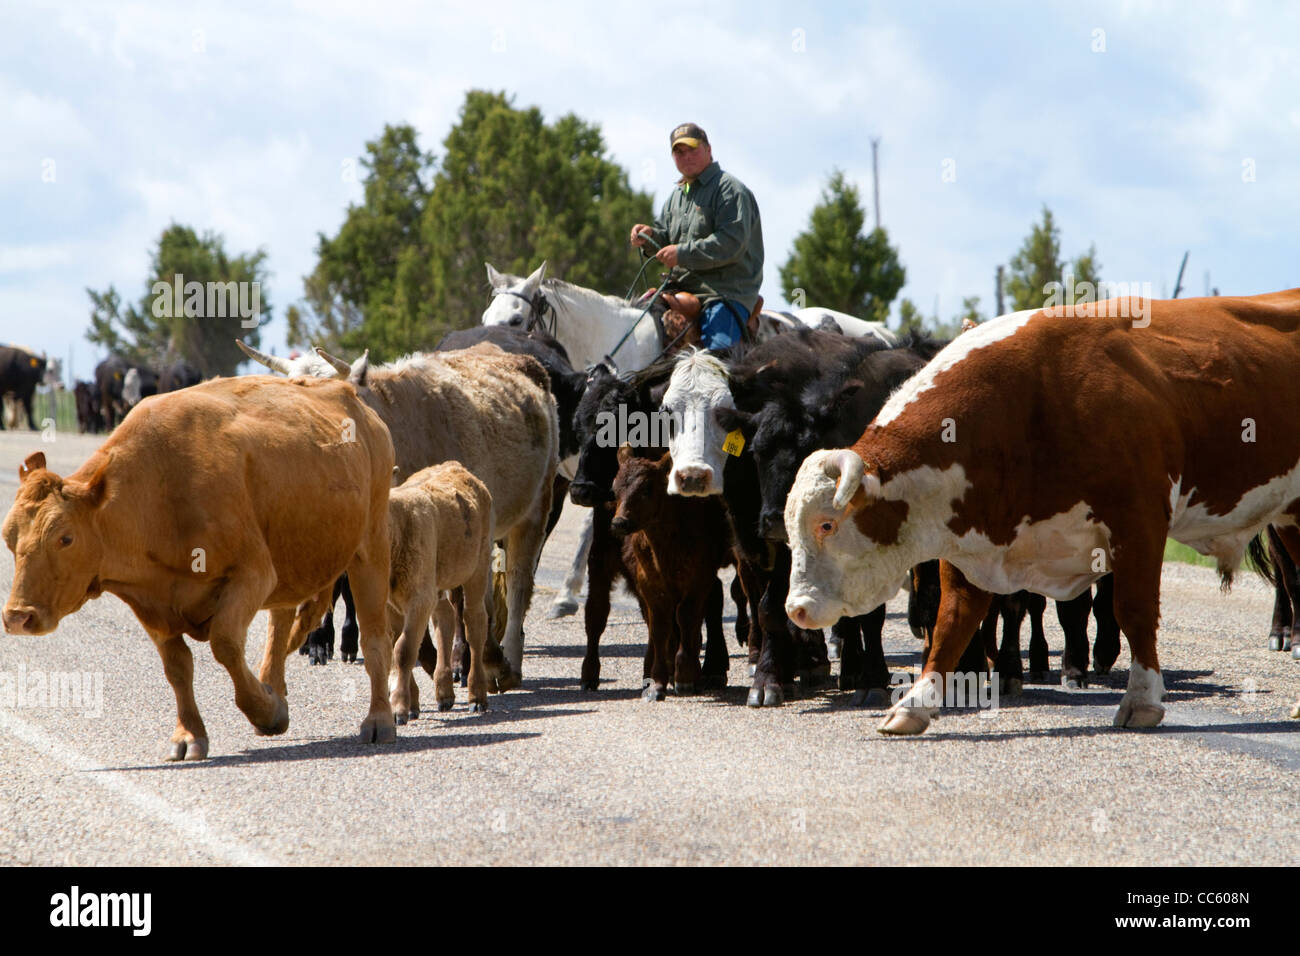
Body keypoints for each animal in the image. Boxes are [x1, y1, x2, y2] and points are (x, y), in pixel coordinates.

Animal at [1, 377, 395, 759]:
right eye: (8, 537)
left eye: (65, 538)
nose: (18, 617)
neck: (160, 491)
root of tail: (352, 398)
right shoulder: (151, 603)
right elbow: (177, 667)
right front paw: (190, 734)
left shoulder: (252, 575)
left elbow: (225, 644)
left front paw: (265, 712)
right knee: (281, 624)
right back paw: (275, 687)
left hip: (372, 549)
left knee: (375, 637)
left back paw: (379, 719)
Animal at [387, 460, 493, 723]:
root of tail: (453, 465)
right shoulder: (389, 601)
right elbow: (397, 647)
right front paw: (409, 703)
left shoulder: (419, 597)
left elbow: (404, 649)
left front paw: (399, 708)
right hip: (435, 578)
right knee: (444, 616)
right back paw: (444, 691)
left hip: (478, 563)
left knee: (475, 621)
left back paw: (477, 696)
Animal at [780, 295, 1300, 738]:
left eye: (826, 524)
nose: (796, 609)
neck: (1033, 402)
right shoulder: (971, 536)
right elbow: (953, 621)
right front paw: (915, 705)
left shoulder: (1139, 522)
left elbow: (1132, 611)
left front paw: (1142, 700)